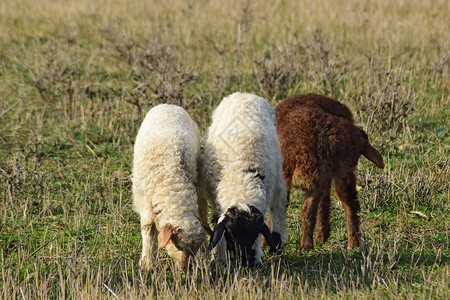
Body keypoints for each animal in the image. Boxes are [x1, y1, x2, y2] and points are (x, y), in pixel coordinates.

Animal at [131, 103, 207, 270]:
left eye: (194, 249)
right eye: (178, 245)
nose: (187, 268)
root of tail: (169, 105)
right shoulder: (143, 199)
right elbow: (148, 228)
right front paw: (147, 262)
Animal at [201, 92, 288, 266]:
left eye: (254, 234)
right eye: (230, 233)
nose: (245, 262)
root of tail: (243, 94)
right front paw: (219, 259)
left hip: (277, 173)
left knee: (277, 207)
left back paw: (278, 240)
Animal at [276, 94, 384, 251]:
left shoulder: (316, 182)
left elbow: (308, 212)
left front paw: (306, 246)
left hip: (335, 175)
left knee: (349, 202)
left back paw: (351, 242)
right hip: (332, 175)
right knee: (333, 198)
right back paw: (325, 236)